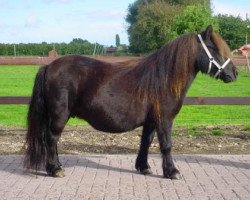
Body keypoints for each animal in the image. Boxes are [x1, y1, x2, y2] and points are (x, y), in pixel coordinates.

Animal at [24, 25, 237, 178]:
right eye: (213, 48)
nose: (234, 73)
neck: (163, 79)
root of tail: (49, 66)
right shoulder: (164, 120)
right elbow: (166, 145)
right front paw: (172, 172)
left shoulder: (151, 121)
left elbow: (146, 142)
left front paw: (144, 167)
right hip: (60, 115)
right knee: (52, 138)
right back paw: (55, 169)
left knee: (52, 140)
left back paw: (56, 166)